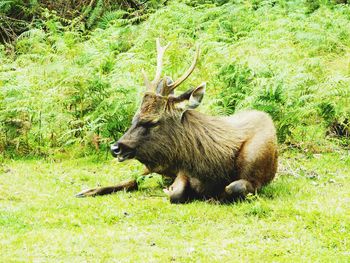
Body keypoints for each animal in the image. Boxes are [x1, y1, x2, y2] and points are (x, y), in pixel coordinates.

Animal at [75, 38, 278, 204]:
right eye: (134, 118)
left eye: (152, 121)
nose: (115, 148)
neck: (212, 169)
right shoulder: (182, 171)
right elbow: (176, 193)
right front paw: (171, 189)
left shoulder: (257, 179)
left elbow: (233, 187)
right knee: (133, 179)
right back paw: (86, 191)